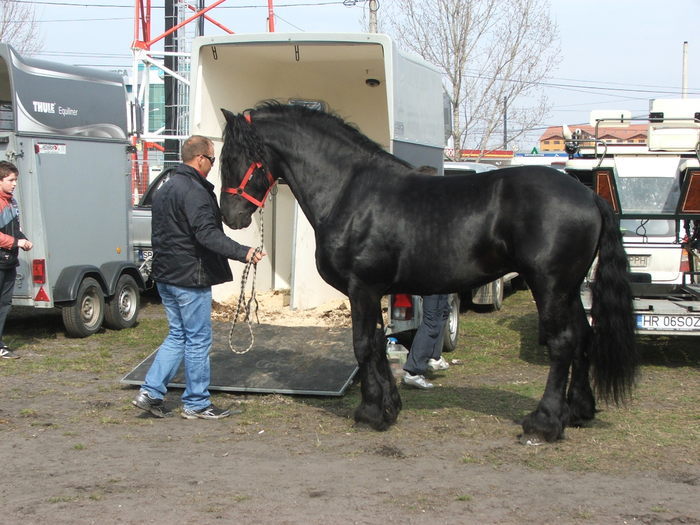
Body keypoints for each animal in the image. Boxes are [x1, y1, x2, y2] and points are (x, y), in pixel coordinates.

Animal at [220, 103, 640, 442]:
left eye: (231, 157)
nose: (231, 216)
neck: (350, 192)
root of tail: (589, 195)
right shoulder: (374, 291)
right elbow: (377, 342)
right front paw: (389, 406)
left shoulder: (362, 288)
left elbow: (362, 345)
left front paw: (370, 413)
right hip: (568, 289)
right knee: (583, 337)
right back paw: (579, 410)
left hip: (550, 287)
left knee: (563, 343)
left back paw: (545, 422)